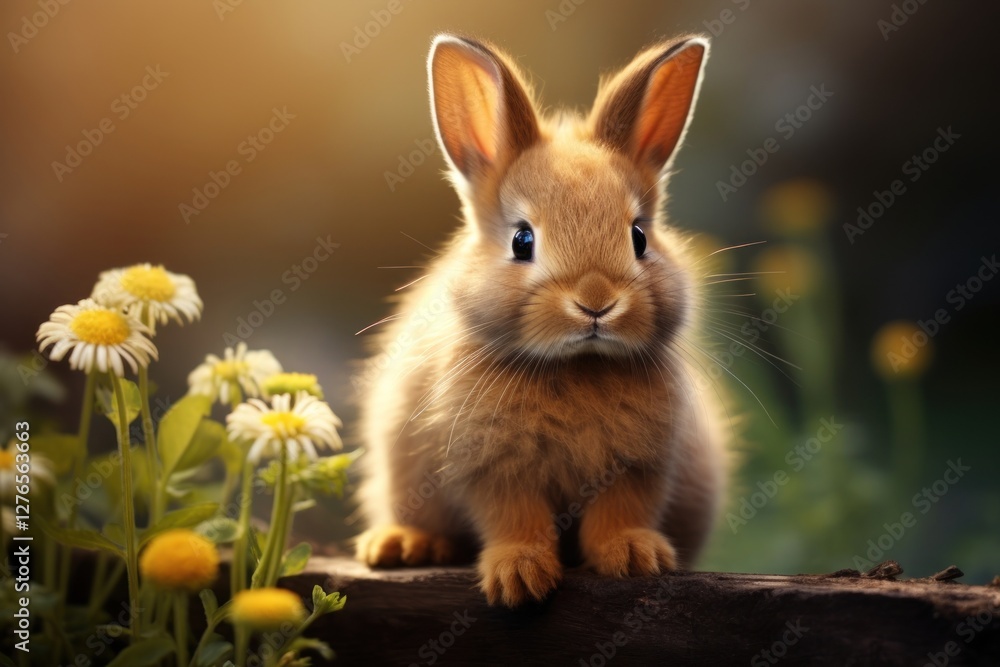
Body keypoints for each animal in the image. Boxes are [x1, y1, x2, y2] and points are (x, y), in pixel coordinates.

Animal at [355, 32, 728, 608]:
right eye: (522, 240)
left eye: (639, 237)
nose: (596, 302)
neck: (577, 366)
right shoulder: (492, 467)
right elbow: (515, 520)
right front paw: (520, 576)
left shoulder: (640, 466)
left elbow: (619, 514)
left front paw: (635, 557)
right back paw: (400, 544)